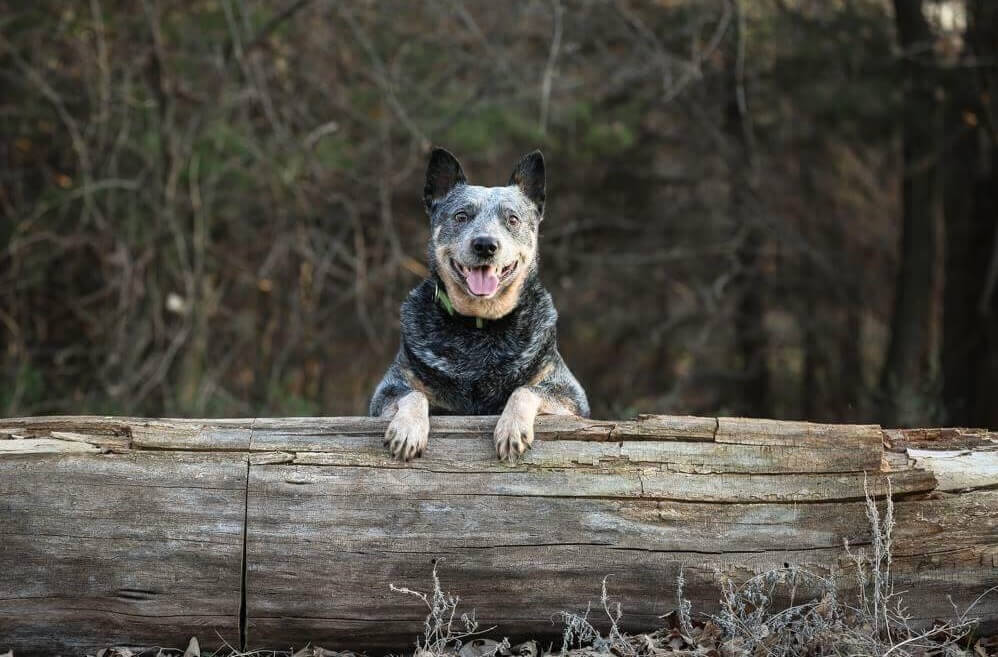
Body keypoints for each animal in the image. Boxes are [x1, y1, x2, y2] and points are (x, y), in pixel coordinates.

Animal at [370, 149, 588, 462]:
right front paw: (408, 428)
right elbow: (415, 393)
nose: (485, 244)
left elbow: (526, 389)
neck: (479, 327)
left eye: (512, 219)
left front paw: (511, 428)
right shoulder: (386, 392)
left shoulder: (571, 395)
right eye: (461, 216)